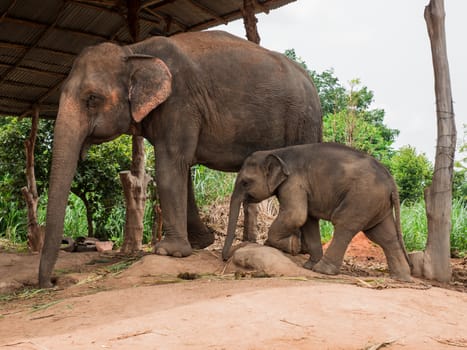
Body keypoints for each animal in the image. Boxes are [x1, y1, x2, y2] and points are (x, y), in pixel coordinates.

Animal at [39, 30, 322, 288]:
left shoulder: (179, 102)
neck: (133, 50)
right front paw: (200, 243)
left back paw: (294, 248)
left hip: (304, 120)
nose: (51, 283)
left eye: (92, 99)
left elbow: (170, 165)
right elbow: (181, 168)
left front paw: (168, 251)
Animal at [223, 142, 414, 282]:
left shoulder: (293, 182)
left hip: (362, 198)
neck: (277, 152)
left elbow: (296, 215)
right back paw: (402, 278)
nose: (225, 258)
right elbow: (308, 220)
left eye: (245, 183)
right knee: (384, 236)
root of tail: (392, 182)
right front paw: (306, 264)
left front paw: (289, 246)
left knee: (344, 225)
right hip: (377, 204)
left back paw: (323, 270)